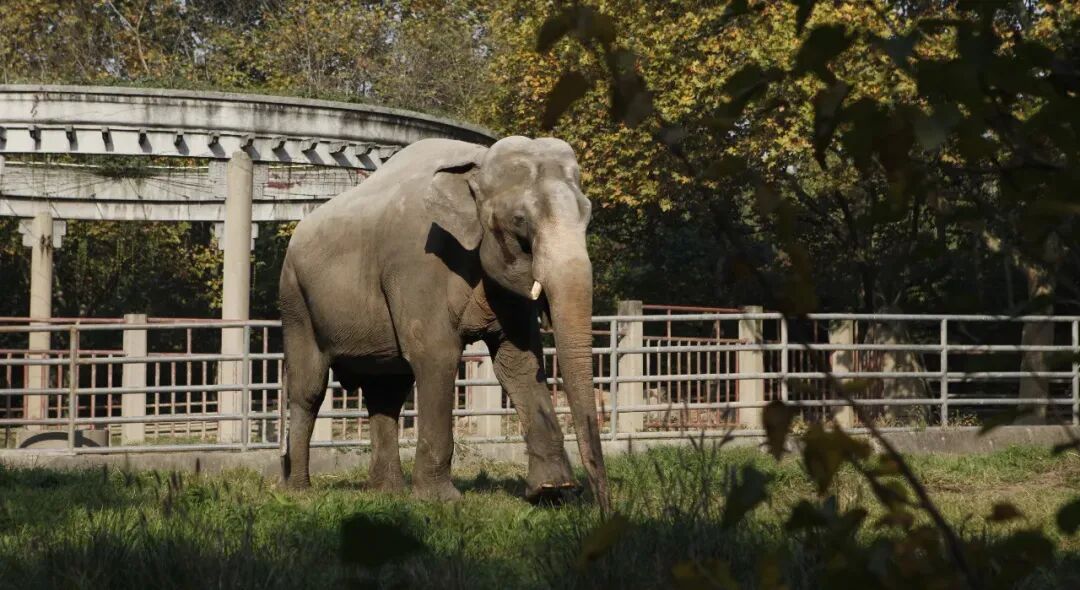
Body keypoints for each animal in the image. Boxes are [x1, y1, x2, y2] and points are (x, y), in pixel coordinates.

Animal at [278, 135, 610, 510]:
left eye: (587, 213)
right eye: (519, 219)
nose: (602, 507)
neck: (477, 161)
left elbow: (519, 363)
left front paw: (550, 491)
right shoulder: (418, 265)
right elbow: (436, 356)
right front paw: (441, 500)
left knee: (387, 390)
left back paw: (387, 492)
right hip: (295, 300)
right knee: (309, 389)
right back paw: (300, 492)